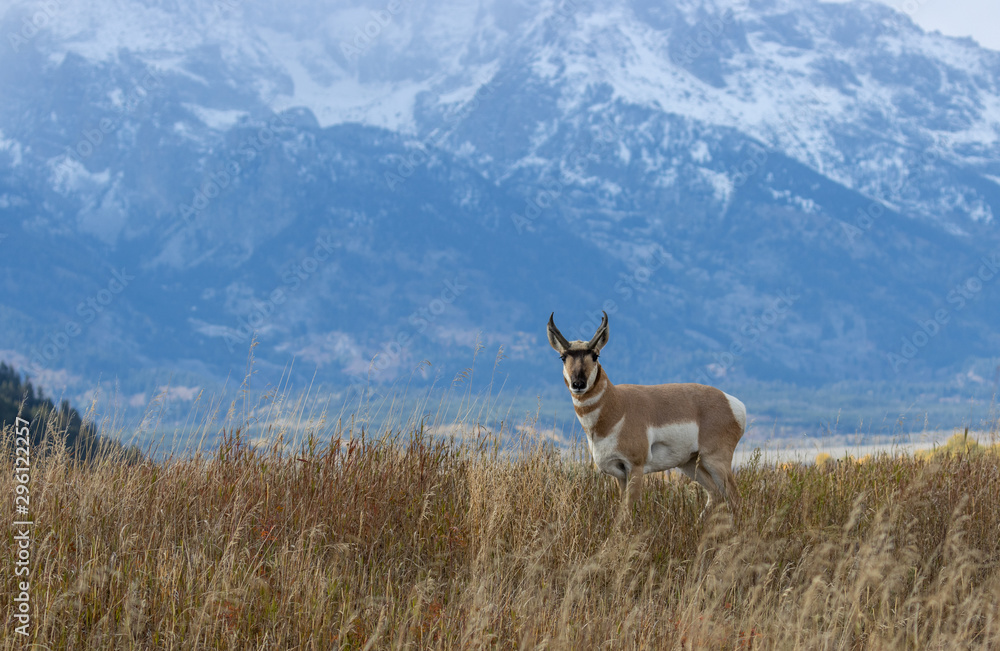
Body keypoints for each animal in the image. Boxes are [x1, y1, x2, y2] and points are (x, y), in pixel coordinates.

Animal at [552, 312, 748, 516]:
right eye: (563, 357)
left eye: (595, 355)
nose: (578, 384)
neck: (617, 404)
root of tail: (732, 402)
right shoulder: (619, 473)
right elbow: (622, 508)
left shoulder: (635, 467)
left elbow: (627, 511)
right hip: (691, 464)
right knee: (716, 496)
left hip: (715, 461)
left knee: (735, 498)